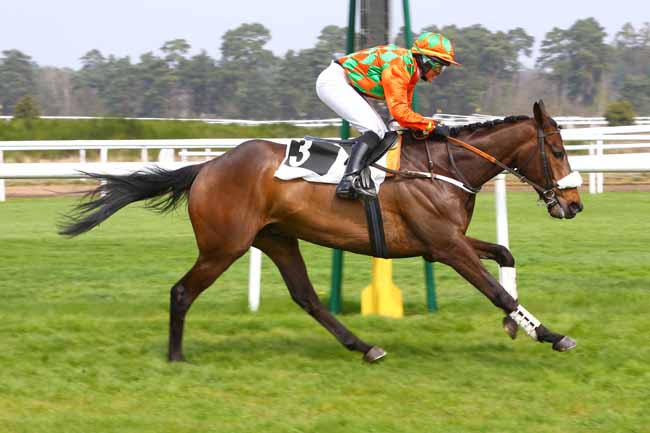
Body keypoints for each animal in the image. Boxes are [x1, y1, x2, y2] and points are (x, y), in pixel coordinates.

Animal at [60, 100, 583, 363]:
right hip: (224, 246)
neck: (442, 167)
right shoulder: (445, 246)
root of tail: (206, 167)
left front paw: (516, 327)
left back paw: (365, 346)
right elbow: (497, 290)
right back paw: (176, 358)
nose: (574, 204)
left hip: (276, 238)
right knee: (182, 291)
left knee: (307, 297)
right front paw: (551, 334)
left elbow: (505, 255)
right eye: (557, 150)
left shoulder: (443, 243)